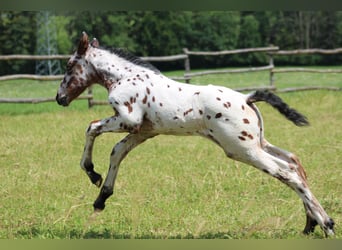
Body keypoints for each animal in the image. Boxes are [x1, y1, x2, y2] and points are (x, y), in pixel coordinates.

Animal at [56, 32, 334, 237]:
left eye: (69, 65)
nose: (60, 98)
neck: (126, 77)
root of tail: (247, 98)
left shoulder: (128, 119)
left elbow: (91, 127)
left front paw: (91, 172)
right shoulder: (143, 132)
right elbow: (117, 152)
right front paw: (101, 197)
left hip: (242, 149)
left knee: (287, 173)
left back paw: (327, 224)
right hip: (258, 143)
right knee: (294, 162)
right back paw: (310, 224)